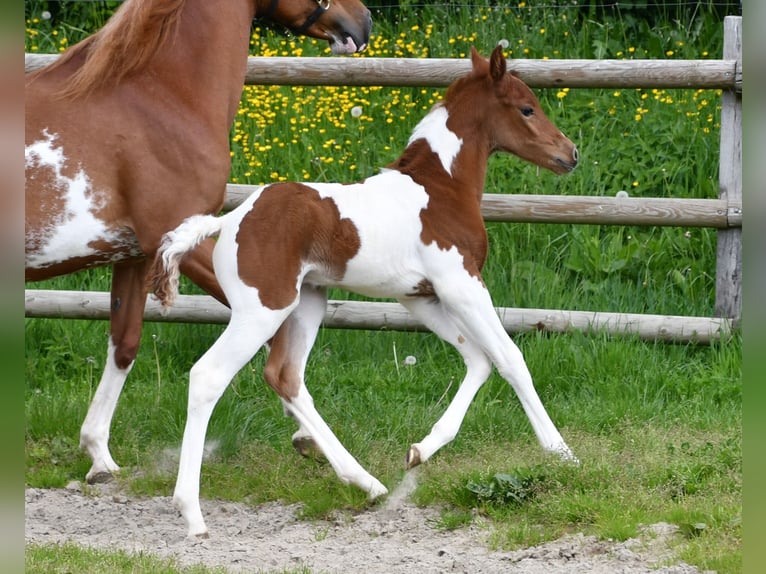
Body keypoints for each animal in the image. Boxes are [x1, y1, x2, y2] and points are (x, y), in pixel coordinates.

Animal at [25, 0, 372, 485]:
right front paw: (310, 439)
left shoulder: (136, 255)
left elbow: (124, 344)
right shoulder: (185, 240)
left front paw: (98, 455)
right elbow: (274, 335)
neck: (159, 96)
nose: (363, 22)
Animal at [151, 45, 579, 538]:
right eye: (527, 108)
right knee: (209, 376)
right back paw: (192, 512)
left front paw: (420, 451)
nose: (570, 153)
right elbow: (510, 359)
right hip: (263, 309)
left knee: (285, 376)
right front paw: (562, 453)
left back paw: (366, 482)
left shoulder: (421, 295)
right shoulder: (461, 283)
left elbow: (478, 360)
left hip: (307, 303)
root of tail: (228, 221)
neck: (441, 188)